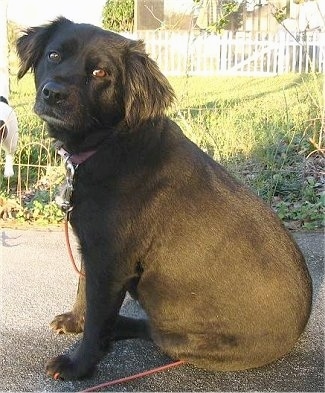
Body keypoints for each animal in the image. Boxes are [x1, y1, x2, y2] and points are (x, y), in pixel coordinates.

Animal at [16, 18, 310, 380]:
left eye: (101, 73)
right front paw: (75, 321)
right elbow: (82, 291)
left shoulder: (111, 264)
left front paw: (78, 365)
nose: (53, 93)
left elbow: (97, 322)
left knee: (150, 331)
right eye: (54, 55)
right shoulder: (93, 251)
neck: (112, 143)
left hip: (177, 335)